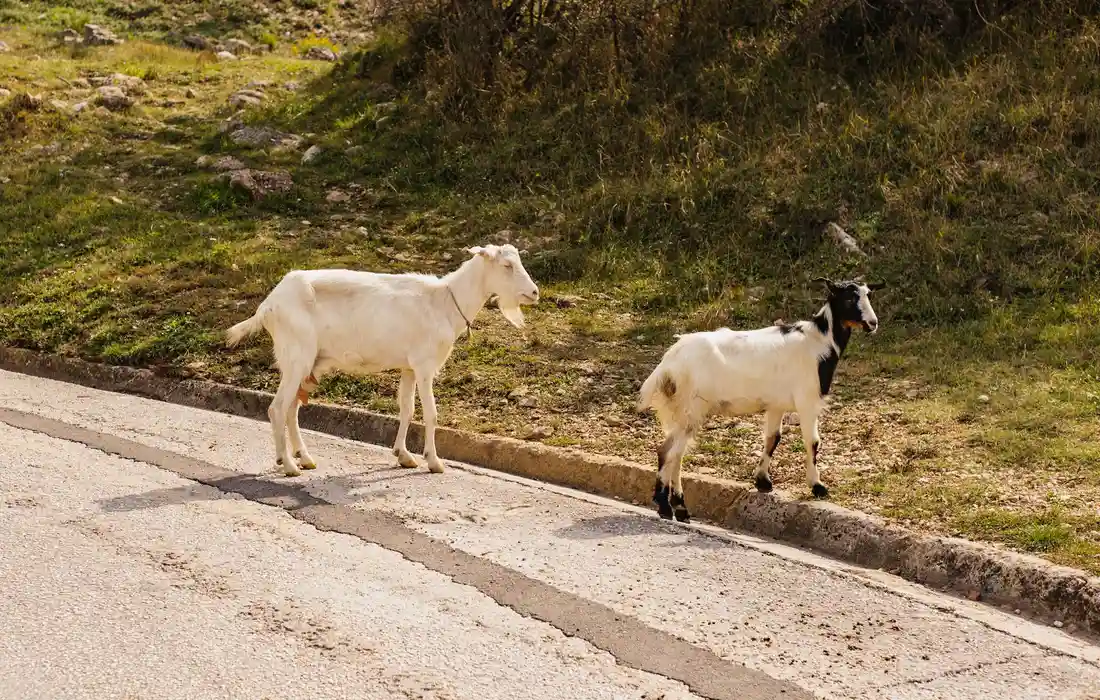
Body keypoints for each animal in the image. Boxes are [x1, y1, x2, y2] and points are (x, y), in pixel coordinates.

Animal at [225, 244, 540, 476]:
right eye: (507, 266)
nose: (535, 292)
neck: (445, 302)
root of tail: (268, 306)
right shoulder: (425, 365)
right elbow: (431, 413)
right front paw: (434, 462)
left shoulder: (409, 367)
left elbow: (407, 409)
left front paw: (404, 455)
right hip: (296, 356)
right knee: (277, 408)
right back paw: (289, 465)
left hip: (306, 362)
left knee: (291, 408)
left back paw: (304, 458)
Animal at [637, 277, 885, 522]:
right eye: (849, 298)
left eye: (869, 295)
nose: (872, 323)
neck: (818, 342)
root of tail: (669, 363)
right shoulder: (807, 399)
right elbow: (812, 442)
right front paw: (817, 486)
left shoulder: (776, 404)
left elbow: (772, 439)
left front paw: (763, 481)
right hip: (692, 406)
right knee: (669, 452)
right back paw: (665, 506)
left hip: (683, 408)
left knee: (675, 452)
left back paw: (679, 508)